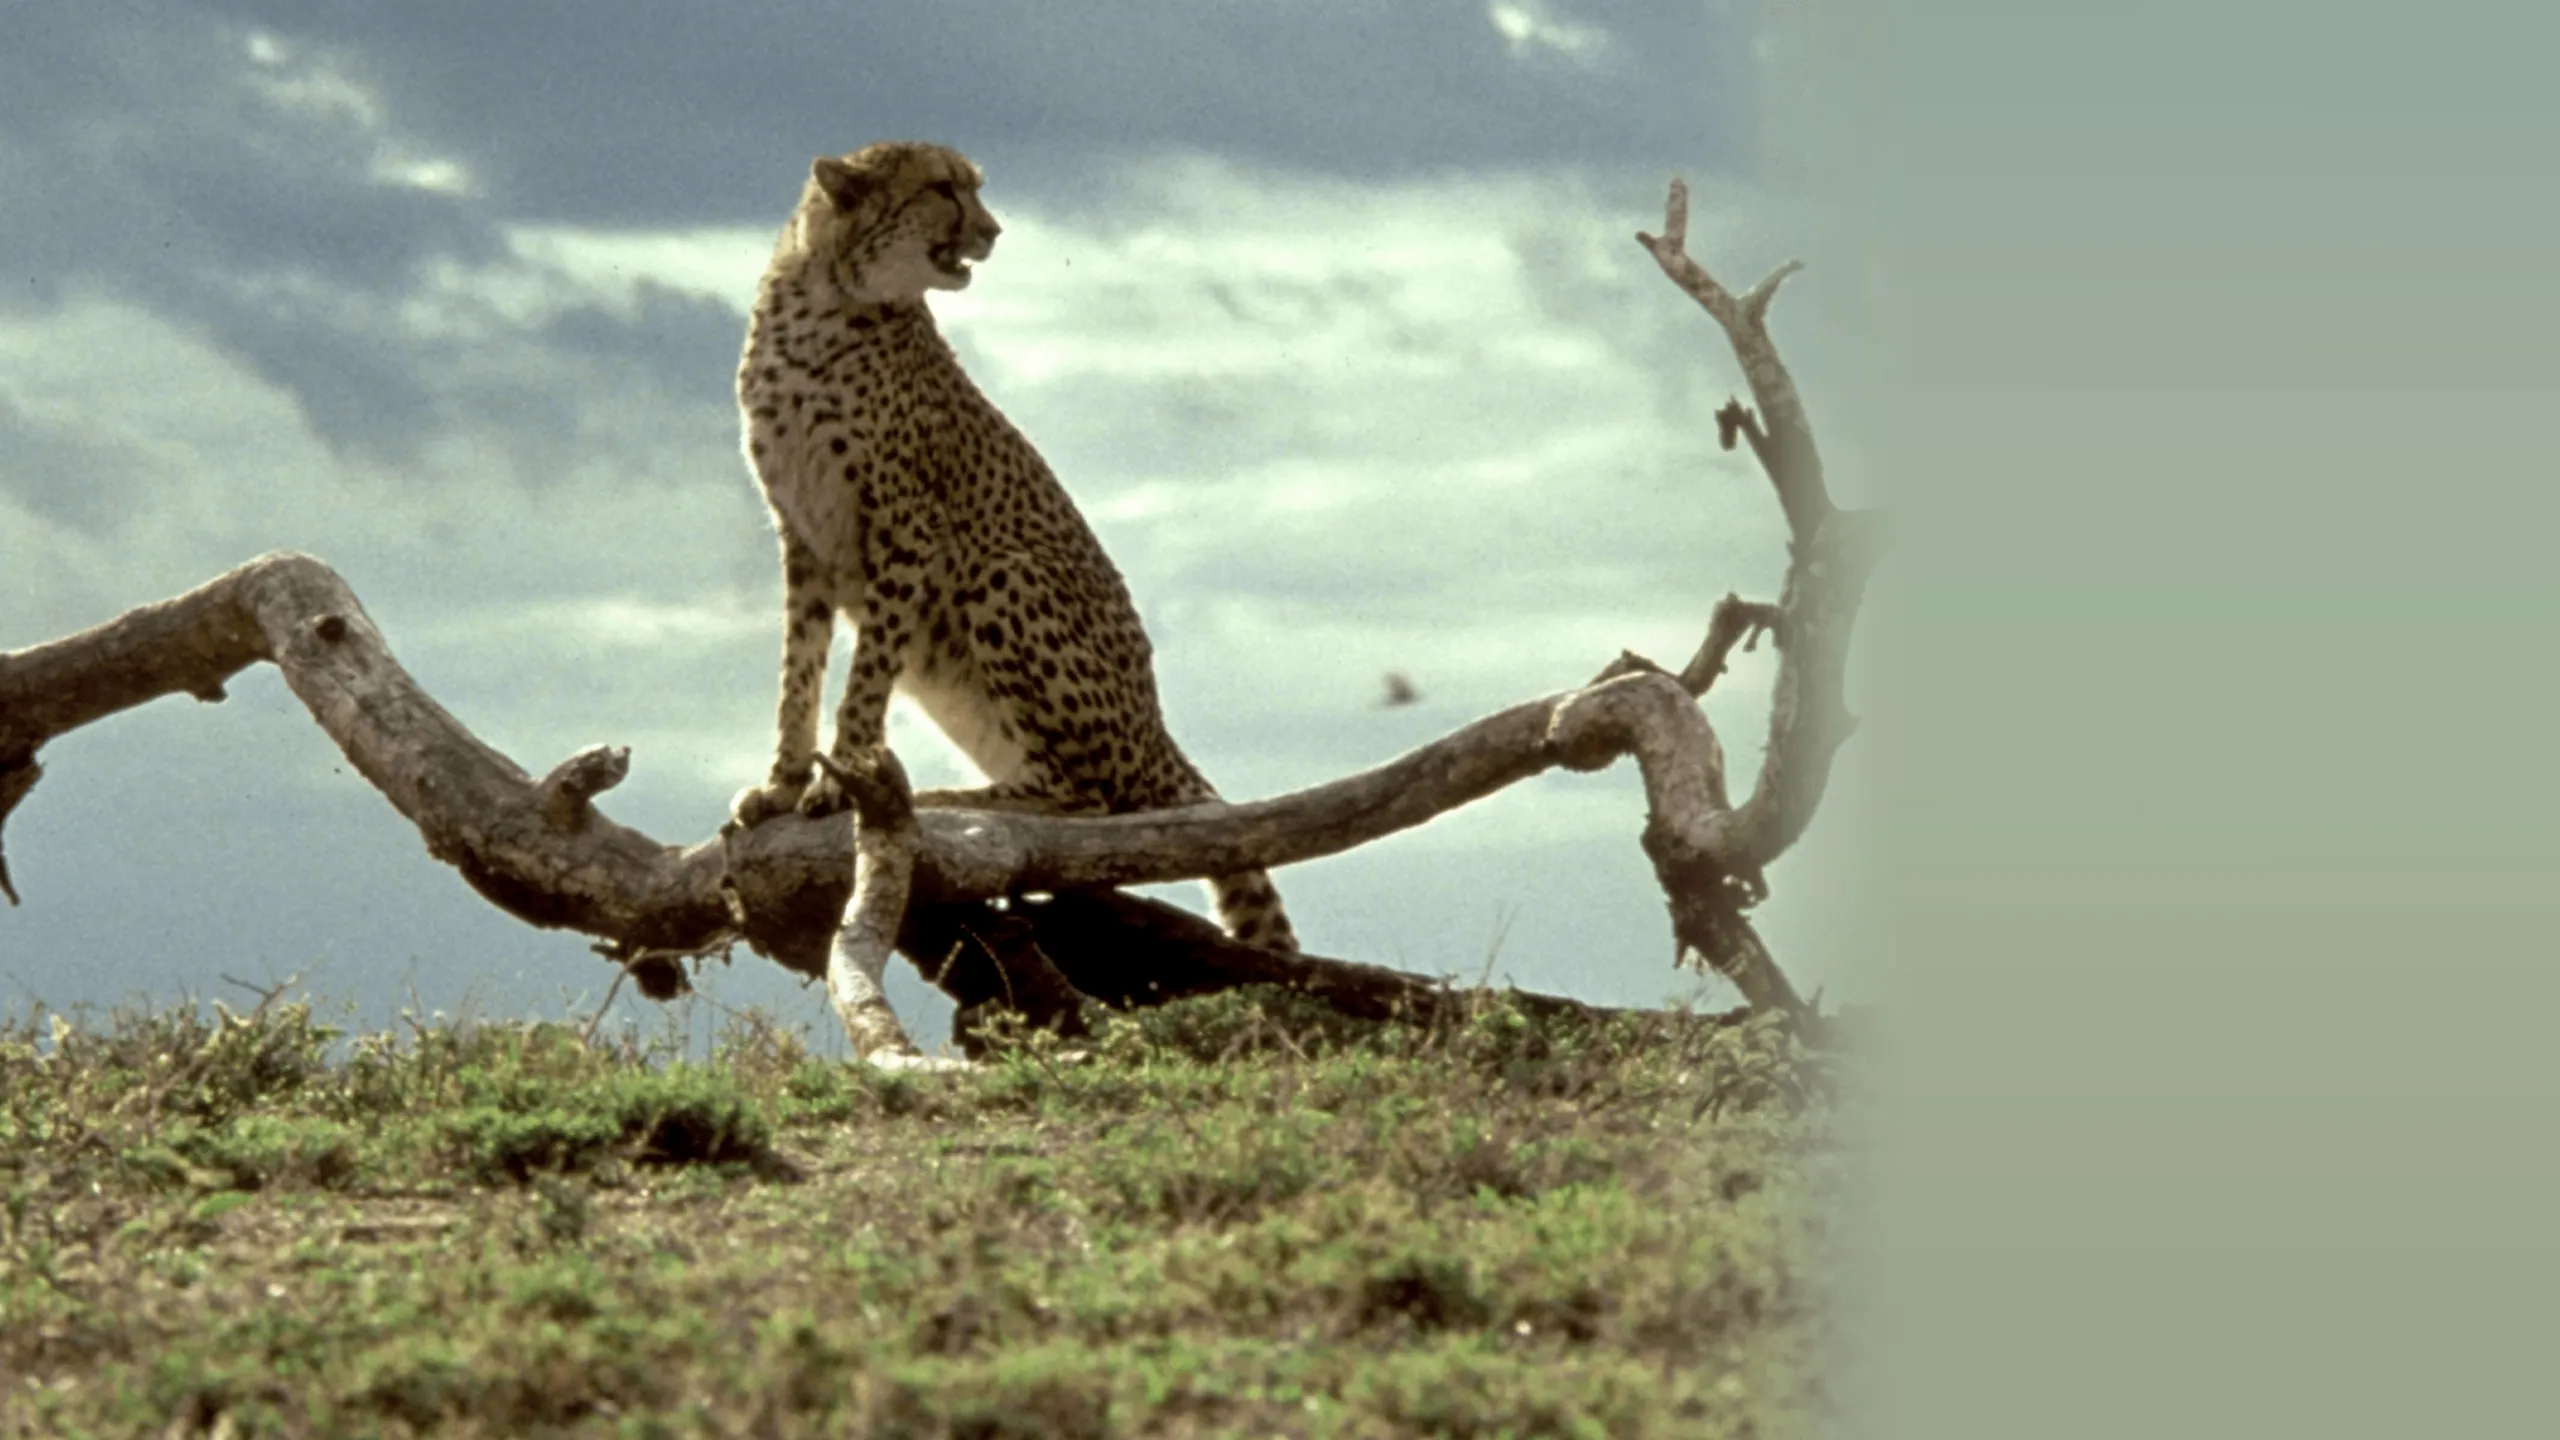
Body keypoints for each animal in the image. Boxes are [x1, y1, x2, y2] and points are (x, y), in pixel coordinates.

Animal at [725, 139, 1296, 953]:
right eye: (942, 189)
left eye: (974, 188)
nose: (993, 231)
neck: (828, 300)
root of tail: (1157, 732)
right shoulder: (802, 537)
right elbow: (798, 674)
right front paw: (781, 784)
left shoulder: (906, 526)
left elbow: (864, 680)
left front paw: (840, 783)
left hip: (1006, 574)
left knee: (1093, 801)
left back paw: (951, 799)